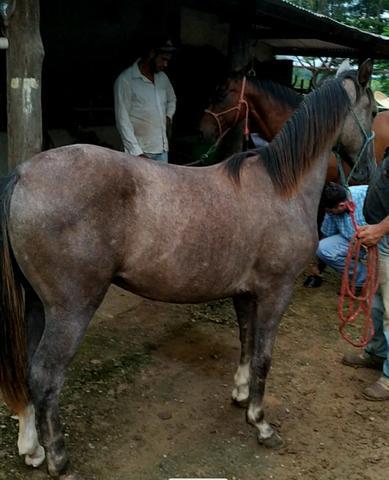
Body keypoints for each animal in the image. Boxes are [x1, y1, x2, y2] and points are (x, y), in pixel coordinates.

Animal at [0, 60, 372, 476]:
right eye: (374, 111)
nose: (364, 174)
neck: (280, 185)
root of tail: (23, 173)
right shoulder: (276, 292)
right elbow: (263, 356)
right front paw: (260, 423)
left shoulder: (246, 292)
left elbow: (245, 340)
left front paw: (240, 394)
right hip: (71, 310)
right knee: (45, 375)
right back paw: (58, 458)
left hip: (37, 304)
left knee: (28, 369)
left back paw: (32, 448)